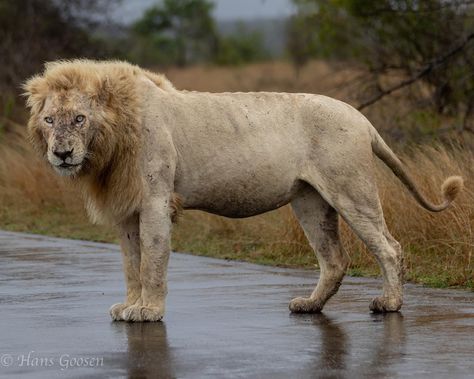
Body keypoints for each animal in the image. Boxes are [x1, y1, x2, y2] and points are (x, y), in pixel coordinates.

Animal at [23, 60, 462, 322]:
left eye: (79, 119)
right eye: (50, 120)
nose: (62, 154)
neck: (110, 142)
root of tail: (361, 117)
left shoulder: (156, 200)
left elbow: (152, 262)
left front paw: (149, 310)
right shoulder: (127, 209)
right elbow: (132, 262)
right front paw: (130, 305)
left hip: (350, 188)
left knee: (389, 247)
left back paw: (389, 304)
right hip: (310, 201)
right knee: (335, 259)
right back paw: (310, 305)